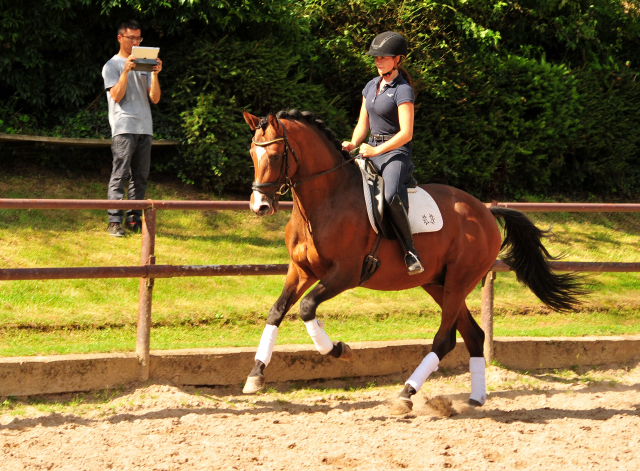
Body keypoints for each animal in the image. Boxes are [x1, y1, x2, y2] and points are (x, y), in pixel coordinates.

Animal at [241, 108, 584, 412]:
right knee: (473, 335)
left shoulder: (346, 273)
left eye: (274, 156)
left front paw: (339, 350)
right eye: (252, 154)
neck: (326, 199)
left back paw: (405, 394)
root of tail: (485, 211)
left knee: (445, 340)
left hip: (459, 280)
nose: (260, 206)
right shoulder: (301, 270)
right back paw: (475, 399)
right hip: (438, 283)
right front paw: (256, 374)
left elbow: (307, 307)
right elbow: (277, 311)